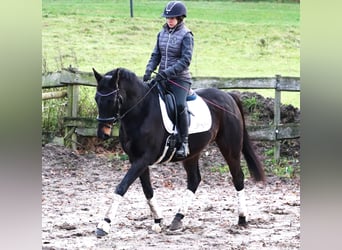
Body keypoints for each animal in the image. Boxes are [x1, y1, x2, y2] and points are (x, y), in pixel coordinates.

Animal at [92, 67, 266, 237]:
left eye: (113, 100)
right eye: (96, 99)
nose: (103, 134)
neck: (142, 112)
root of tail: (228, 96)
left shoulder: (143, 159)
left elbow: (122, 187)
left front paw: (104, 224)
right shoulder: (136, 159)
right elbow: (147, 190)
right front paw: (158, 220)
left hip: (230, 148)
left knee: (238, 177)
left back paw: (242, 219)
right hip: (192, 154)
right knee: (194, 180)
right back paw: (177, 219)